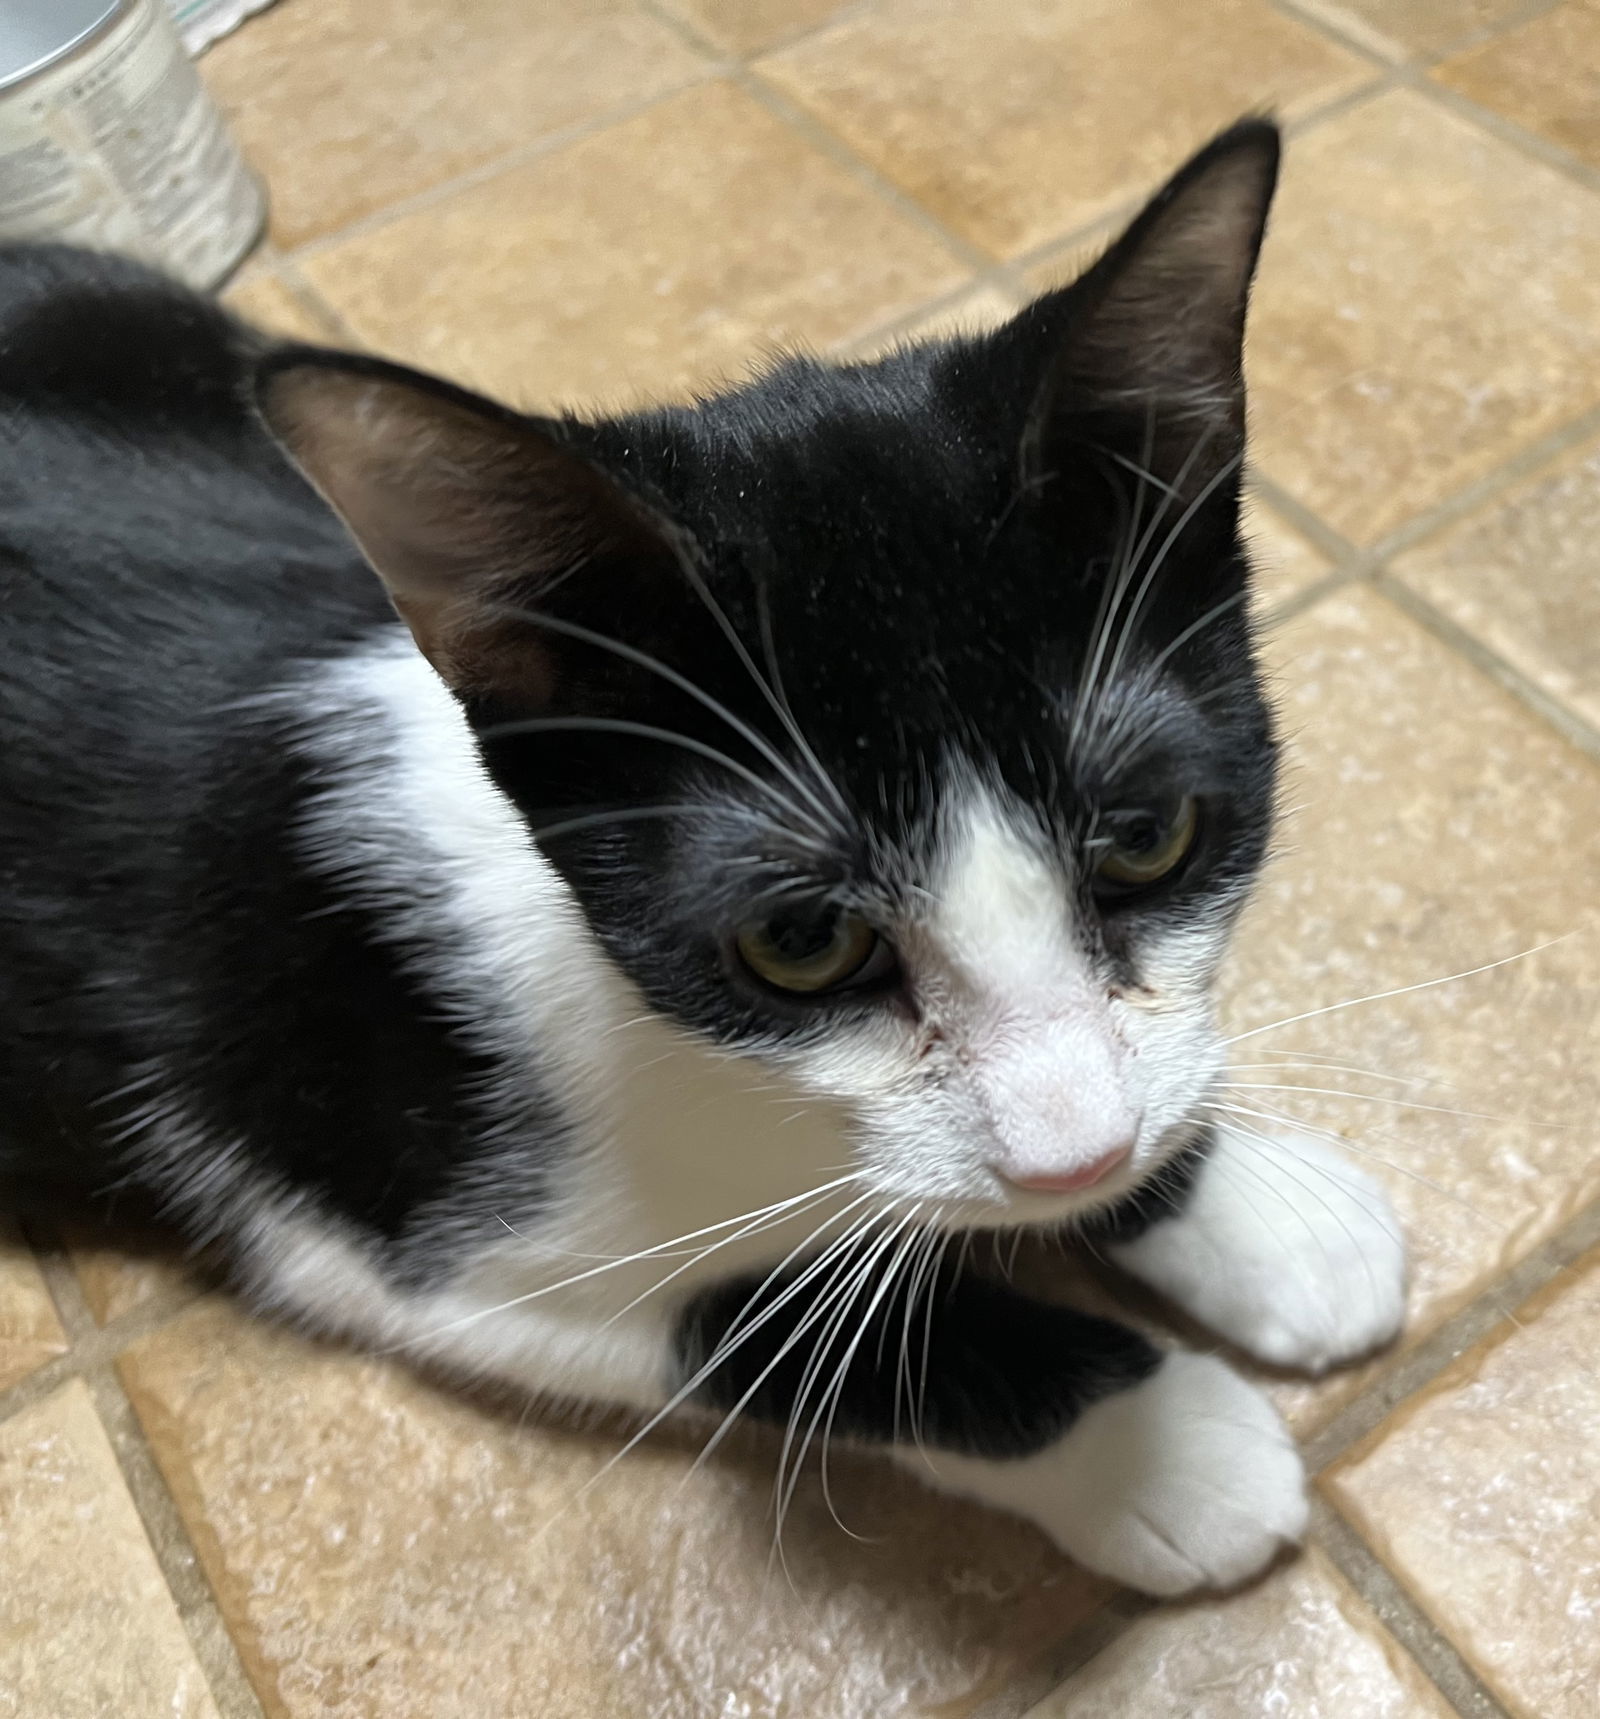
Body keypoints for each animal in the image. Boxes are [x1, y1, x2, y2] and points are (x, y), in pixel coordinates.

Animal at [0, 124, 1402, 1595]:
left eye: (1145, 835)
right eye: (800, 942)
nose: (1071, 1160)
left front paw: (1261, 1209)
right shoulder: (373, 1223)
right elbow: (776, 1326)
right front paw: (1160, 1443)